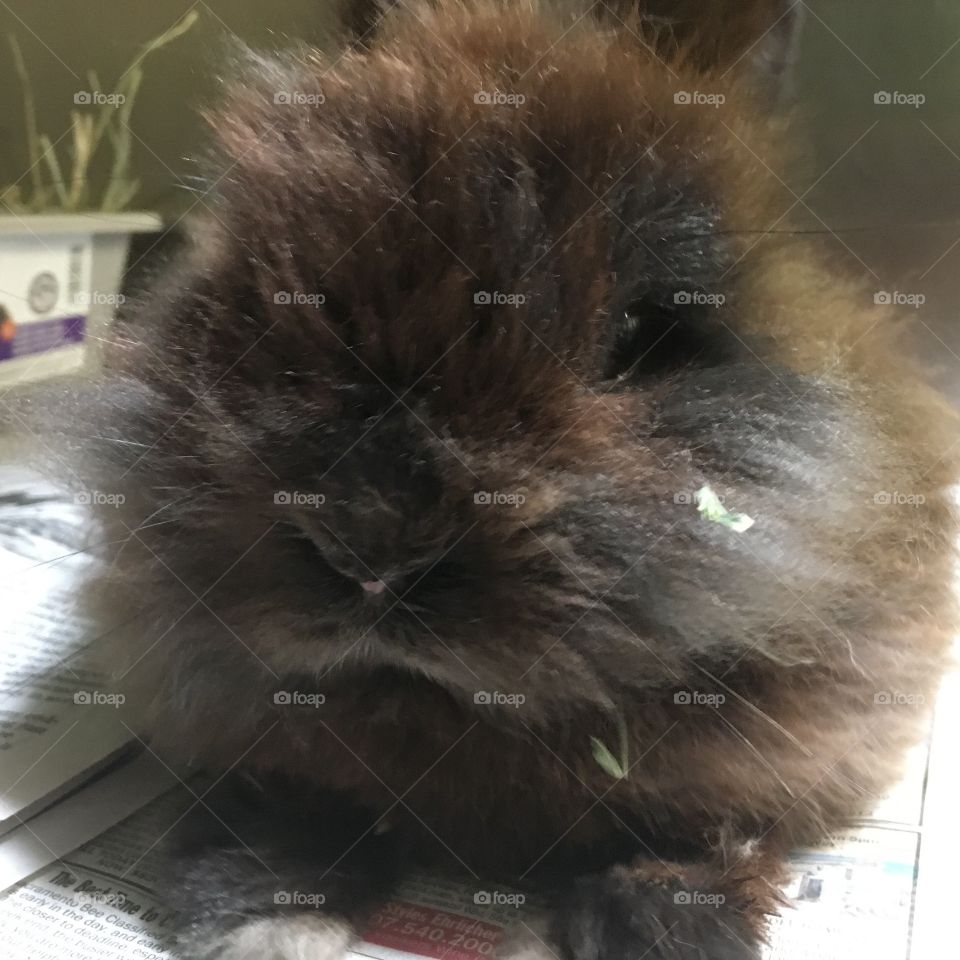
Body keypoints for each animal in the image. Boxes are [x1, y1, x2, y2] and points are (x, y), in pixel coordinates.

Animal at [16, 1, 960, 960]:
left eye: (644, 338)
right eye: (261, 300)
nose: (371, 540)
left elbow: (700, 834)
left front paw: (658, 925)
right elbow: (286, 810)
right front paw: (265, 920)